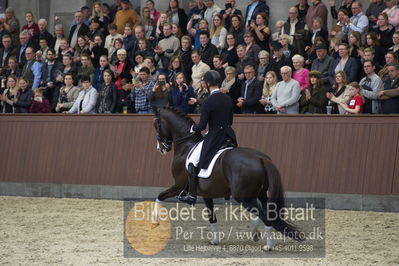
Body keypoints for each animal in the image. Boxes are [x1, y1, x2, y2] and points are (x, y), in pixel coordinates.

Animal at [152, 106, 304, 249]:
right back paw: (256, 232)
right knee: (268, 212)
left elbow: (160, 196)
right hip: (260, 193)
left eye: (156, 125)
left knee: (264, 215)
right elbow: (211, 216)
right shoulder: (206, 194)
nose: (162, 148)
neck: (186, 146)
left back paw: (268, 245)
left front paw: (154, 220)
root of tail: (261, 158)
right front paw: (215, 240)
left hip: (243, 197)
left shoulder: (178, 186)